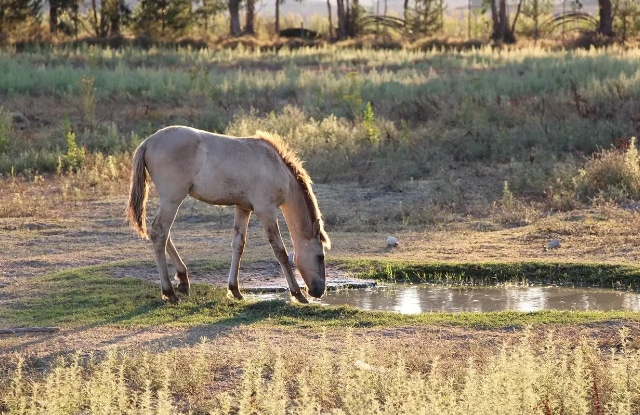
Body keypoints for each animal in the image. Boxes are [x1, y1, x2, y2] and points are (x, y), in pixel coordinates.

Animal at [127, 125, 332, 304]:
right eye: (320, 257)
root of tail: (148, 142)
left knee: (162, 233)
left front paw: (234, 290)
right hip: (172, 199)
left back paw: (183, 280)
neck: (275, 167)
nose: (319, 291)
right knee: (159, 232)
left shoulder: (243, 208)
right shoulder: (265, 210)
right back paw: (169, 292)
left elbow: (238, 245)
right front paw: (297, 294)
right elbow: (280, 251)